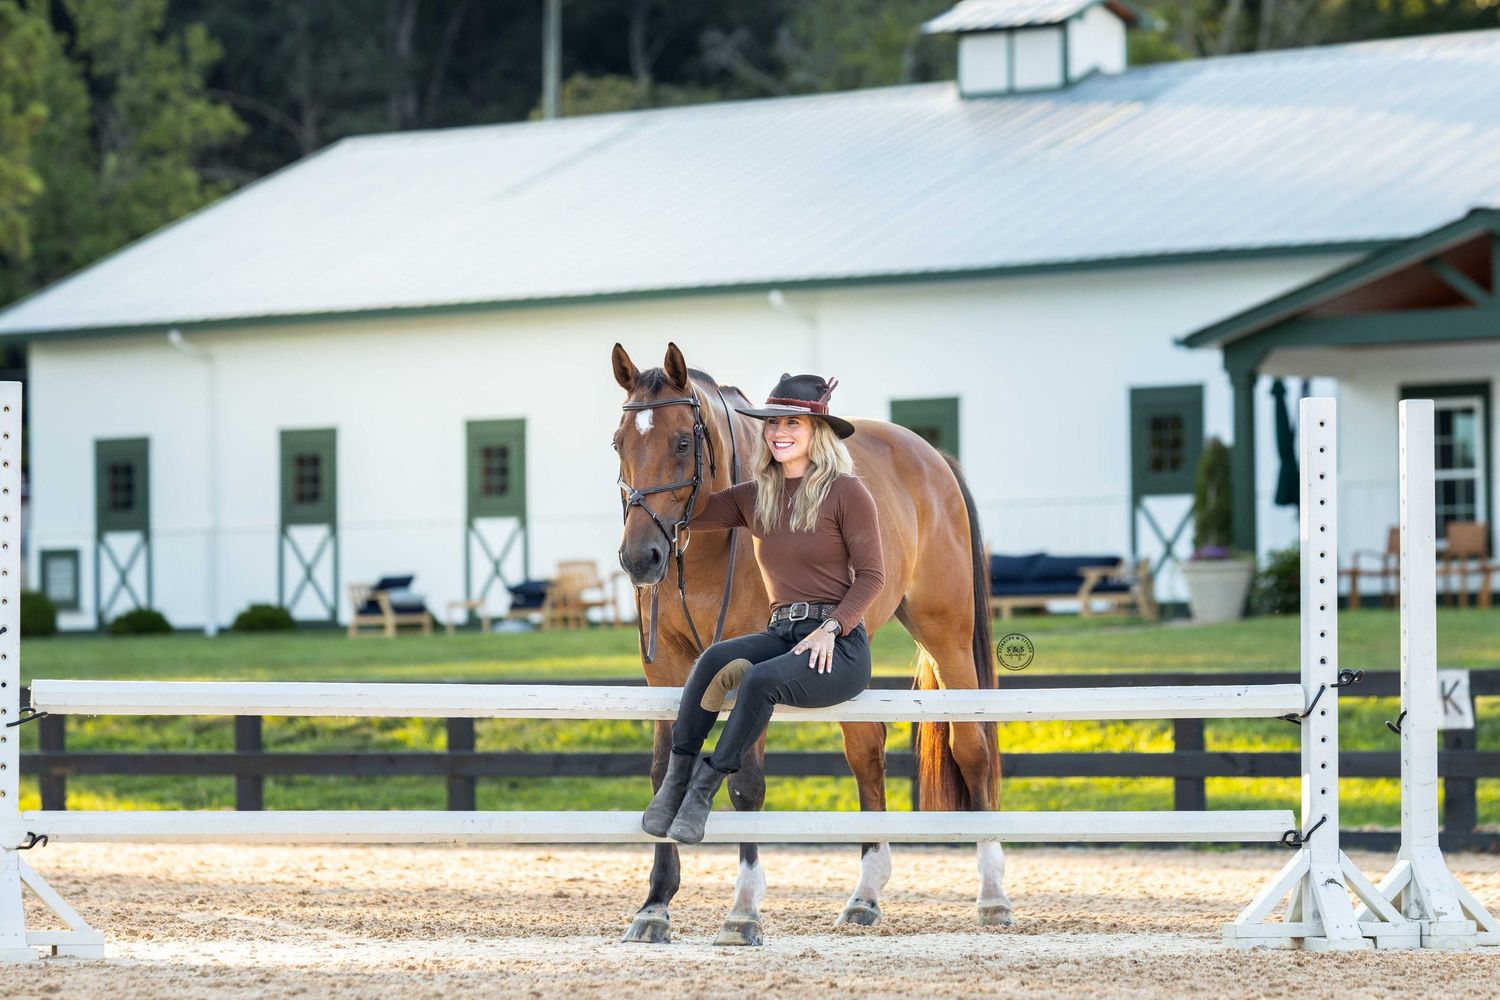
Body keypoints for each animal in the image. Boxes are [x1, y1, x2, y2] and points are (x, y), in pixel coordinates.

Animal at [611, 342, 1011, 945]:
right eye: (619, 443)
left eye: (682, 442)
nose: (641, 558)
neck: (706, 552)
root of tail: (933, 457)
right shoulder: (667, 672)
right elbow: (663, 771)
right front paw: (654, 906)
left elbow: (746, 784)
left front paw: (743, 910)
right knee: (866, 751)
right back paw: (866, 894)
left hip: (948, 636)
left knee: (973, 749)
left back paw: (991, 894)